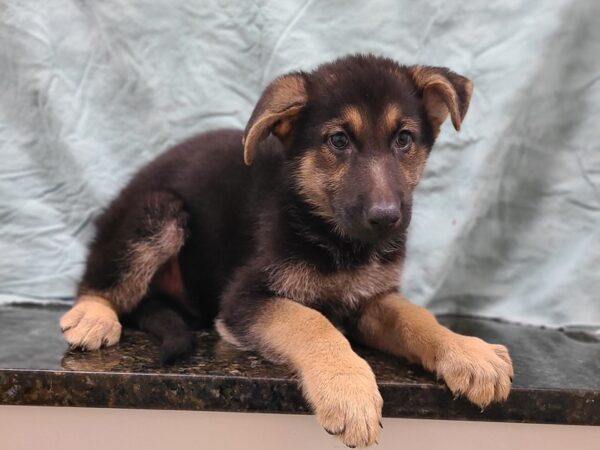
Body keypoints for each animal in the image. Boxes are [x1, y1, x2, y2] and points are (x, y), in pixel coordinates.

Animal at [59, 55, 510, 446]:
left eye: (404, 139)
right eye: (339, 141)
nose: (386, 218)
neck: (333, 236)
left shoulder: (371, 297)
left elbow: (415, 316)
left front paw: (467, 352)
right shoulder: (244, 300)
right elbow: (311, 322)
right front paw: (347, 389)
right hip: (159, 212)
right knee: (99, 279)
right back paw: (94, 315)